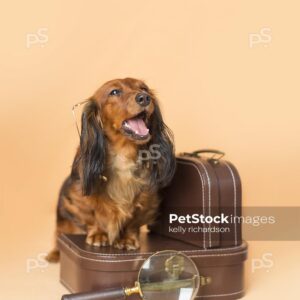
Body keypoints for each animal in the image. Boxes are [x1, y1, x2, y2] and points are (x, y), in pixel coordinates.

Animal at [45, 78, 175, 262]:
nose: (144, 98)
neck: (123, 155)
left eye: (144, 88)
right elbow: (91, 214)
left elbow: (134, 221)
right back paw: (55, 253)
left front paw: (127, 238)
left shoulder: (147, 199)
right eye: (114, 92)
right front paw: (98, 234)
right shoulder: (77, 196)